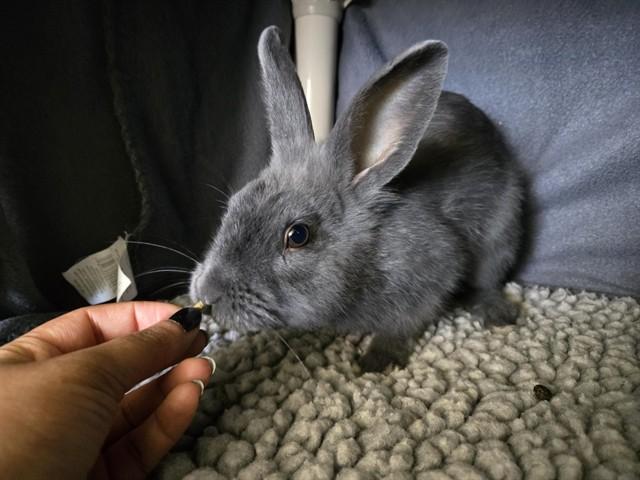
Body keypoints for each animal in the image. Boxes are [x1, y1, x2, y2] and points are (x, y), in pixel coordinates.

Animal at [190, 26, 524, 372]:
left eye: (298, 235)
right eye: (234, 204)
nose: (207, 293)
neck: (368, 255)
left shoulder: (433, 274)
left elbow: (401, 326)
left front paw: (374, 361)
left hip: (500, 236)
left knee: (488, 281)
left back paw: (497, 314)